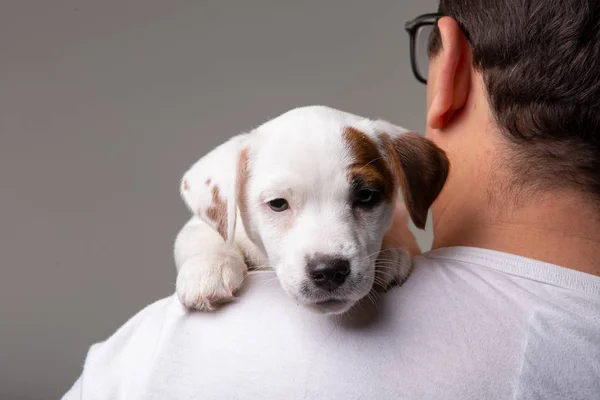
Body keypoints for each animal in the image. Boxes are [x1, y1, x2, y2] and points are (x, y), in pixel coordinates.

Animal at [171, 106, 448, 316]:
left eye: (366, 195)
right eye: (278, 203)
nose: (330, 271)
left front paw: (391, 252)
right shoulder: (208, 227)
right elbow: (202, 234)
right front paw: (207, 269)